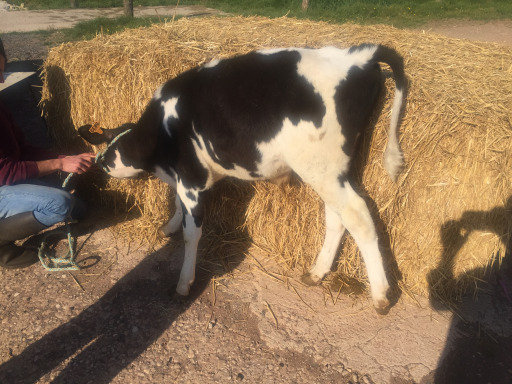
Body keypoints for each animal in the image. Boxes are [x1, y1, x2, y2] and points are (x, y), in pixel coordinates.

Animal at [80, 43, 406, 314]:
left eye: (112, 150)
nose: (98, 162)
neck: (162, 135)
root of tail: (360, 55)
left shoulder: (192, 177)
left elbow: (191, 233)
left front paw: (184, 283)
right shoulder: (187, 178)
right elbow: (176, 204)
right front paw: (169, 225)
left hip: (322, 168)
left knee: (358, 216)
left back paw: (380, 295)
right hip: (330, 171)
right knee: (337, 217)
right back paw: (317, 272)